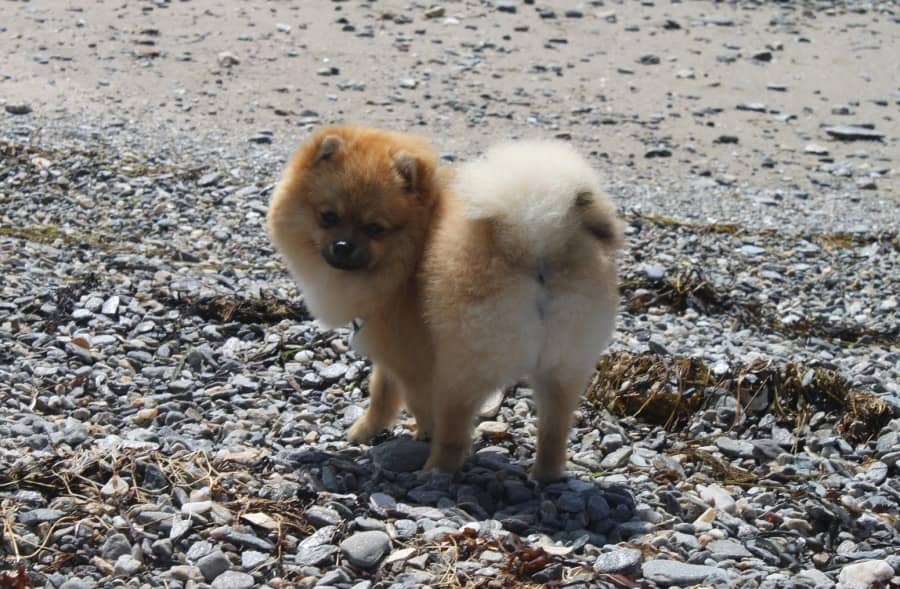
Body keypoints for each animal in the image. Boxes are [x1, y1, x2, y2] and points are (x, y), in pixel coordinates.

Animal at [264, 126, 624, 480]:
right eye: (328, 217)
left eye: (375, 228)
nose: (342, 246)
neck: (414, 248)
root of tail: (535, 239)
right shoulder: (393, 349)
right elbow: (382, 392)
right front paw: (369, 429)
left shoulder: (410, 359)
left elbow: (409, 400)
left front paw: (406, 432)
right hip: (564, 366)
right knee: (553, 431)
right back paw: (544, 476)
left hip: (463, 367)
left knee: (454, 428)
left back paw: (435, 469)